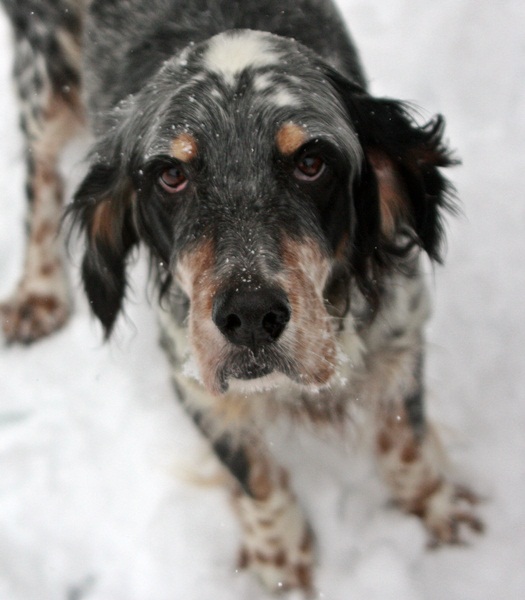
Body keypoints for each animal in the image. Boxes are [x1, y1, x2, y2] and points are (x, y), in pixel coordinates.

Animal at [1, 0, 484, 592]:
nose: (250, 314)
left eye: (311, 162)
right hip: (42, 74)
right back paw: (37, 291)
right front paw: (282, 564)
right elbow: (255, 475)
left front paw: (439, 513)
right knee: (39, 176)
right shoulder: (194, 377)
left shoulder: (401, 330)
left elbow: (405, 441)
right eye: (171, 174)